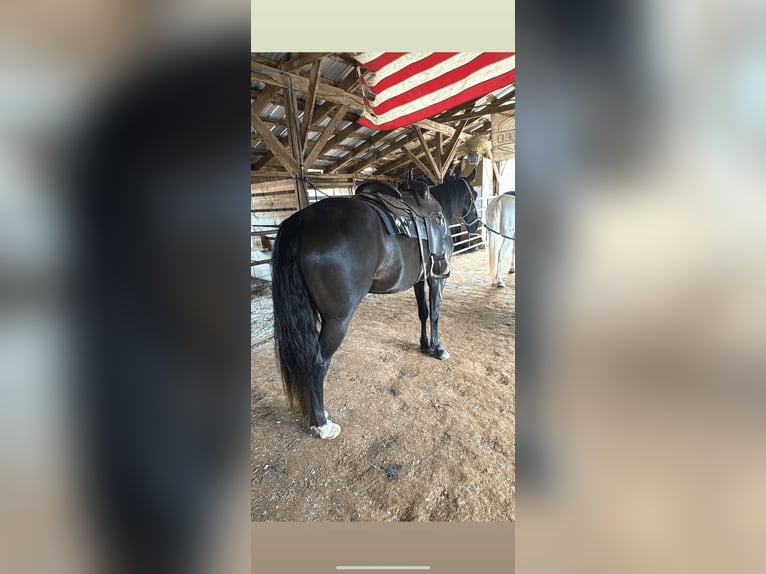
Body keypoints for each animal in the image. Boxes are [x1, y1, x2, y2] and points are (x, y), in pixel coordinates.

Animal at [270, 175, 480, 439]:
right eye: (474, 193)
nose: (476, 225)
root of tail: (302, 221)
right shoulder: (436, 278)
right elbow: (435, 314)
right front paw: (438, 348)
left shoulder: (419, 280)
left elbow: (422, 313)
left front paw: (424, 345)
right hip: (337, 321)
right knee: (318, 363)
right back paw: (322, 423)